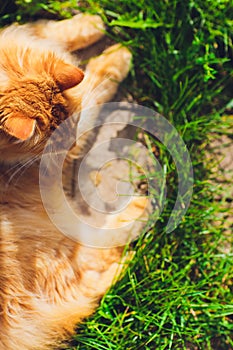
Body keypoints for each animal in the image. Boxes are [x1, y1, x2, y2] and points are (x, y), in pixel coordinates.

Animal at [0, 13, 148, 350]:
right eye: (52, 140)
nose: (70, 141)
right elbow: (96, 83)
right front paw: (119, 55)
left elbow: (50, 31)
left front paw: (92, 23)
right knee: (95, 262)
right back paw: (143, 208)